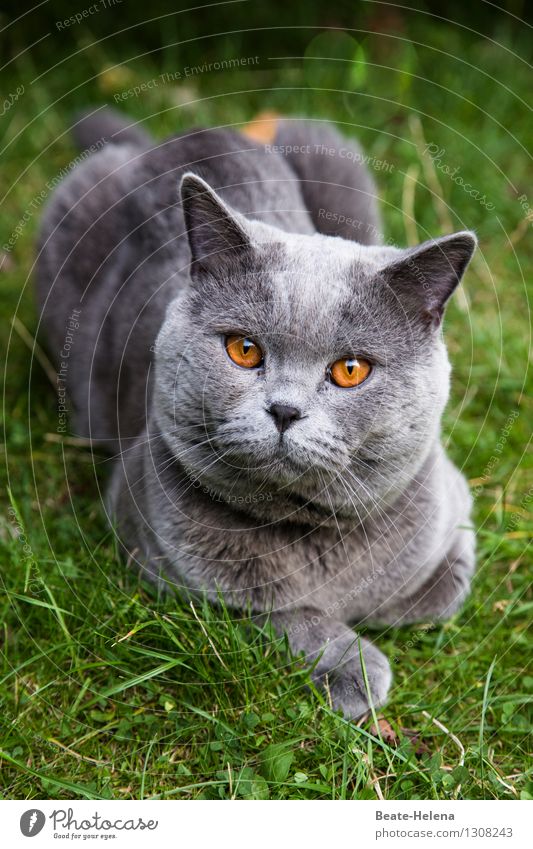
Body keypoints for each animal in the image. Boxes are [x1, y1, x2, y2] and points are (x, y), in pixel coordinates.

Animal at [35, 107, 476, 716]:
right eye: (244, 350)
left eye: (351, 370)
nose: (284, 410)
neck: (308, 532)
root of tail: (173, 137)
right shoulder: (159, 560)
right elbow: (275, 612)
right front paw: (353, 666)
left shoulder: (455, 517)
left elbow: (433, 597)